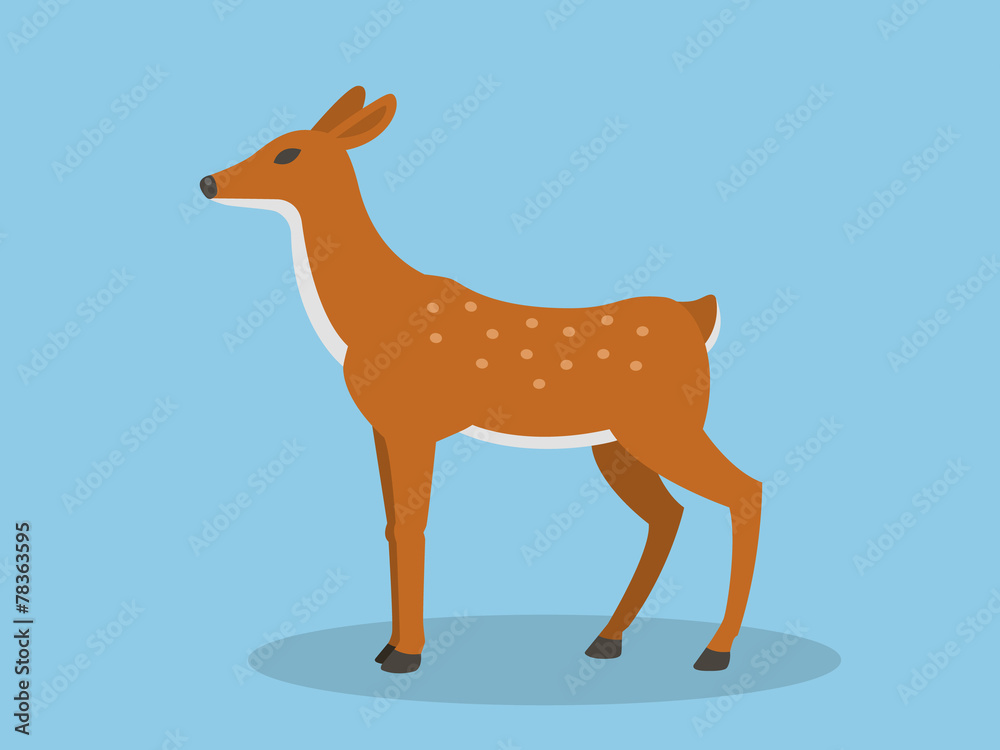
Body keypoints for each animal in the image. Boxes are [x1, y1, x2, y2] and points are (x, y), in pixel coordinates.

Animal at [200, 87, 763, 675]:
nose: (209, 182)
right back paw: (607, 639)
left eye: (287, 153)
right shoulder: (383, 427)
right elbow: (390, 526)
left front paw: (406, 654)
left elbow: (413, 526)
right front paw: (386, 647)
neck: (369, 315)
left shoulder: (415, 423)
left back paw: (716, 650)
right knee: (669, 514)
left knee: (745, 491)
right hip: (618, 442)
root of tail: (698, 314)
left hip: (666, 422)